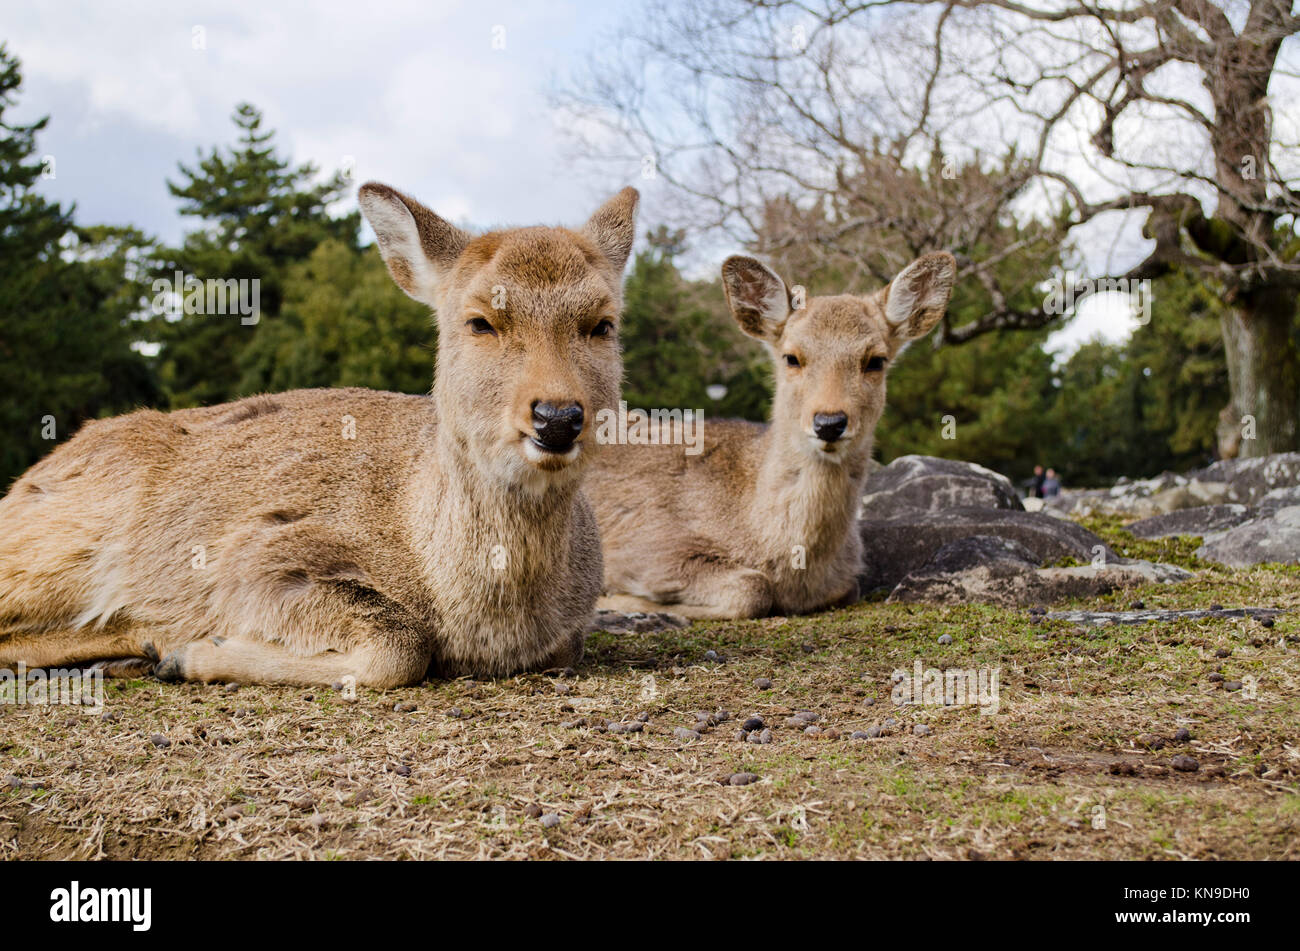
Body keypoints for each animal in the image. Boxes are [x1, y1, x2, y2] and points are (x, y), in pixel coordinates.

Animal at [0, 180, 639, 685]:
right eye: (480, 321)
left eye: (602, 324)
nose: (557, 417)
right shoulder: (258, 553)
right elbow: (400, 647)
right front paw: (197, 653)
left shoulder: (569, 634)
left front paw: (183, 651)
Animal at [590, 252, 956, 621]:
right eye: (792, 357)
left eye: (876, 361)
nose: (829, 422)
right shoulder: (649, 550)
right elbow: (752, 588)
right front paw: (615, 600)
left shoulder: (845, 581)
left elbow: (844, 589)